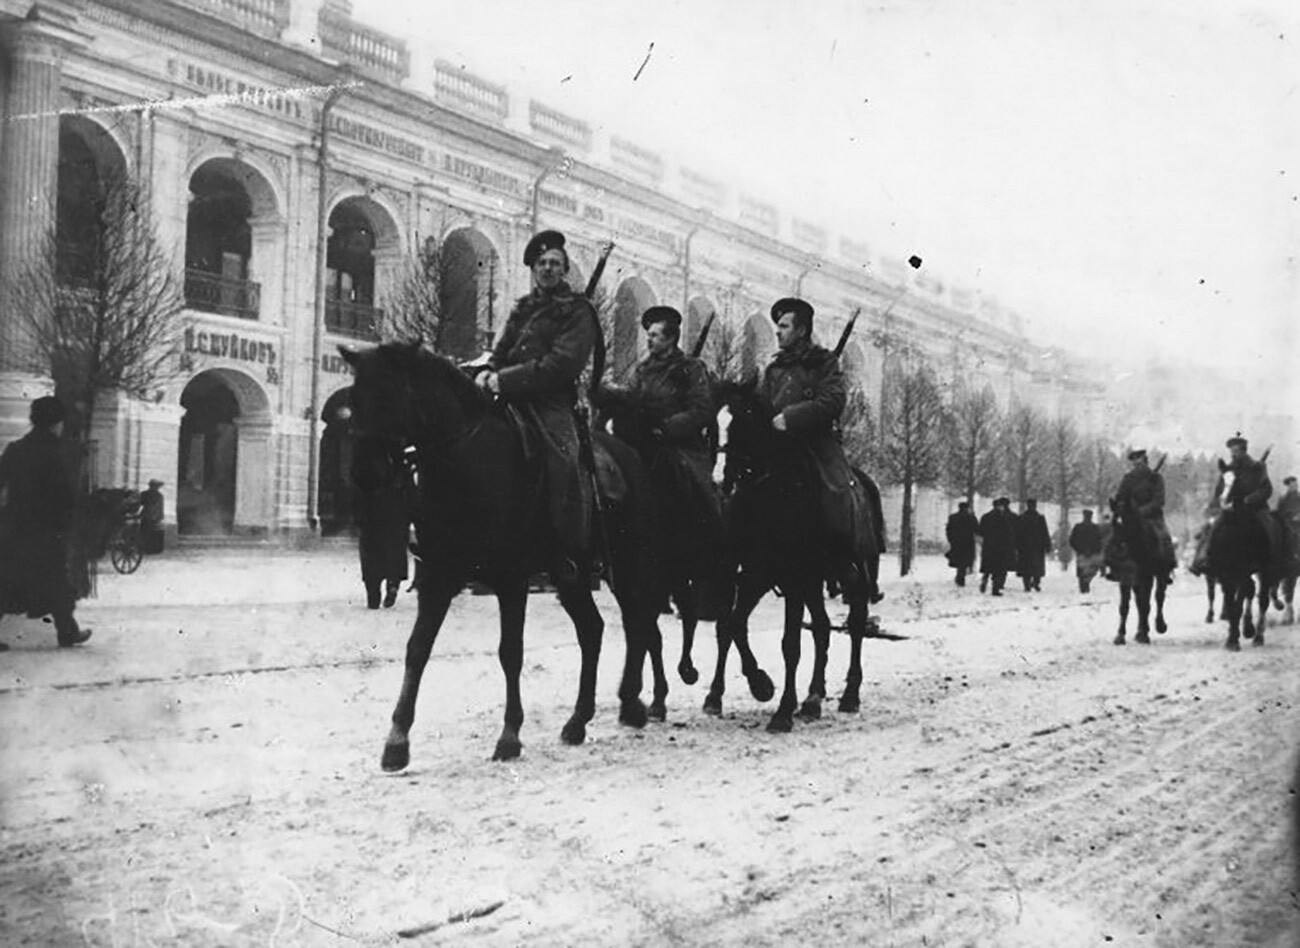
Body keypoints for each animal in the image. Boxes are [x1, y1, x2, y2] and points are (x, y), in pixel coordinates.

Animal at [340, 343, 665, 764]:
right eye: (353, 401)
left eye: (389, 397)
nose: (363, 474)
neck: (468, 462)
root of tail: (629, 454)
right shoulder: (438, 576)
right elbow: (417, 649)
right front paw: (397, 741)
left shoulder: (511, 578)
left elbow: (510, 652)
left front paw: (510, 736)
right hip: (572, 575)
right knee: (593, 629)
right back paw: (580, 720)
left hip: (625, 566)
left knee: (637, 621)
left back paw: (632, 703)